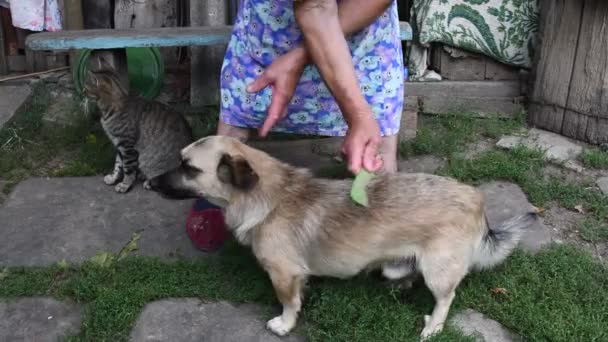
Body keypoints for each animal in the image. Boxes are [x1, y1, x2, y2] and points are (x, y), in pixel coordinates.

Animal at [82, 52, 192, 194]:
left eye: (85, 88)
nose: (82, 92)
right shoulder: (120, 145)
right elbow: (118, 165)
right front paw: (113, 178)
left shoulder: (128, 146)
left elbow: (128, 169)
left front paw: (125, 185)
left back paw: (148, 182)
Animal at [148, 135, 536, 338]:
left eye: (188, 168)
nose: (149, 183)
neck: (269, 197)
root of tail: (476, 200)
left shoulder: (284, 275)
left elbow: (289, 303)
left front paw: (284, 324)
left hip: (438, 271)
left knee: (446, 297)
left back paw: (433, 327)